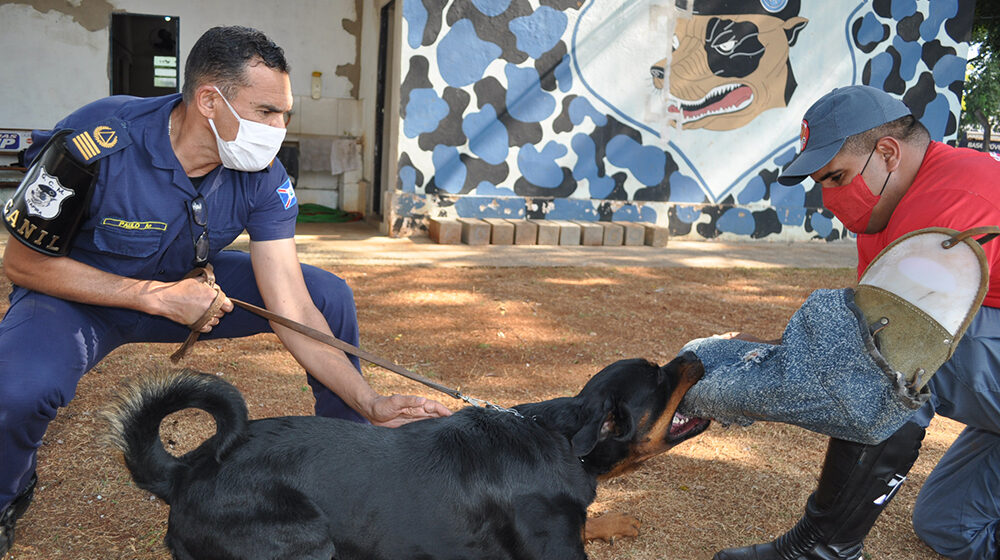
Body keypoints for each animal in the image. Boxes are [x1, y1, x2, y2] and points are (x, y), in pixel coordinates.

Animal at [105, 356, 708, 556]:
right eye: (659, 377)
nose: (693, 356)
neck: (562, 439)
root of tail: (185, 469)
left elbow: (593, 520)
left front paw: (619, 521)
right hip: (306, 541)